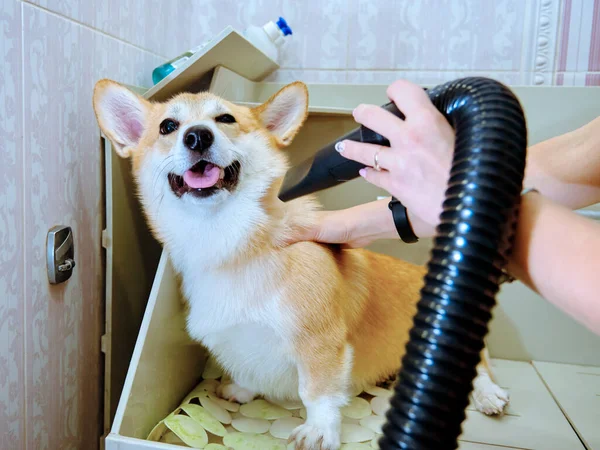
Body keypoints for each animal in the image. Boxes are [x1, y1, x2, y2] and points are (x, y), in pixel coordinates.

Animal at [92, 79, 506, 448]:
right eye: (168, 126)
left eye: (225, 119)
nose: (197, 137)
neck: (226, 240)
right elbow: (249, 367)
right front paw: (242, 389)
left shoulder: (320, 343)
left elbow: (317, 391)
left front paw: (320, 431)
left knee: (480, 366)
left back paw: (489, 395)